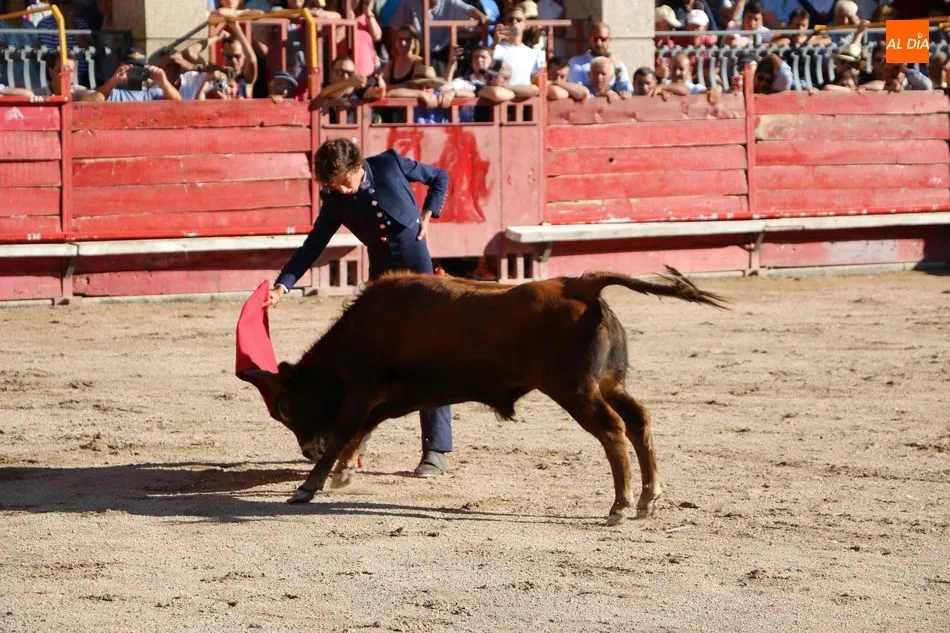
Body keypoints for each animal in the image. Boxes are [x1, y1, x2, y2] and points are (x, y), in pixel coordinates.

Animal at [246, 266, 728, 525]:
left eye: (286, 406)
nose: (307, 450)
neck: (361, 330)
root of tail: (579, 285)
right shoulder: (388, 396)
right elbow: (360, 430)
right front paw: (342, 474)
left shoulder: (364, 389)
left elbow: (347, 429)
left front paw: (309, 485)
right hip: (610, 383)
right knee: (639, 420)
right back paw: (648, 498)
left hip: (575, 390)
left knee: (612, 430)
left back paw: (620, 505)